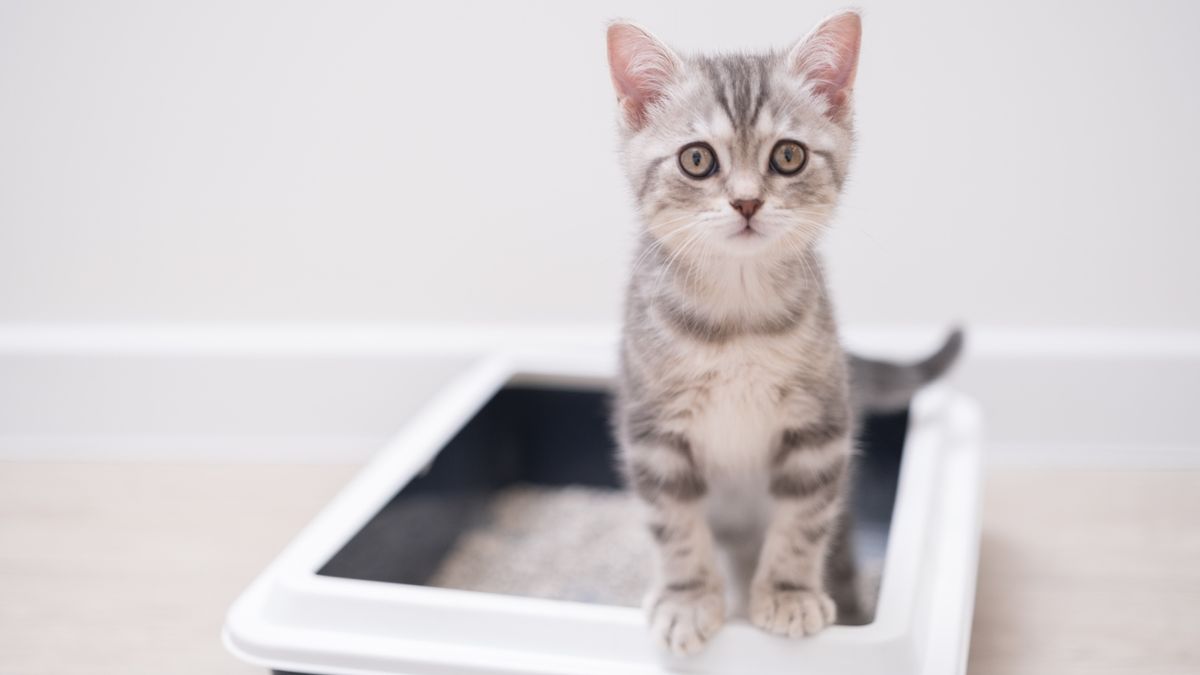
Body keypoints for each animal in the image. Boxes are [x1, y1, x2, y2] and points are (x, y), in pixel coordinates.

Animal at [609, 10, 955, 653]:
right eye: (697, 160)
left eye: (788, 156)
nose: (747, 202)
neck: (737, 317)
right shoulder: (653, 431)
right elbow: (674, 523)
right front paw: (688, 598)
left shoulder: (822, 427)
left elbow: (802, 520)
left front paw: (789, 594)